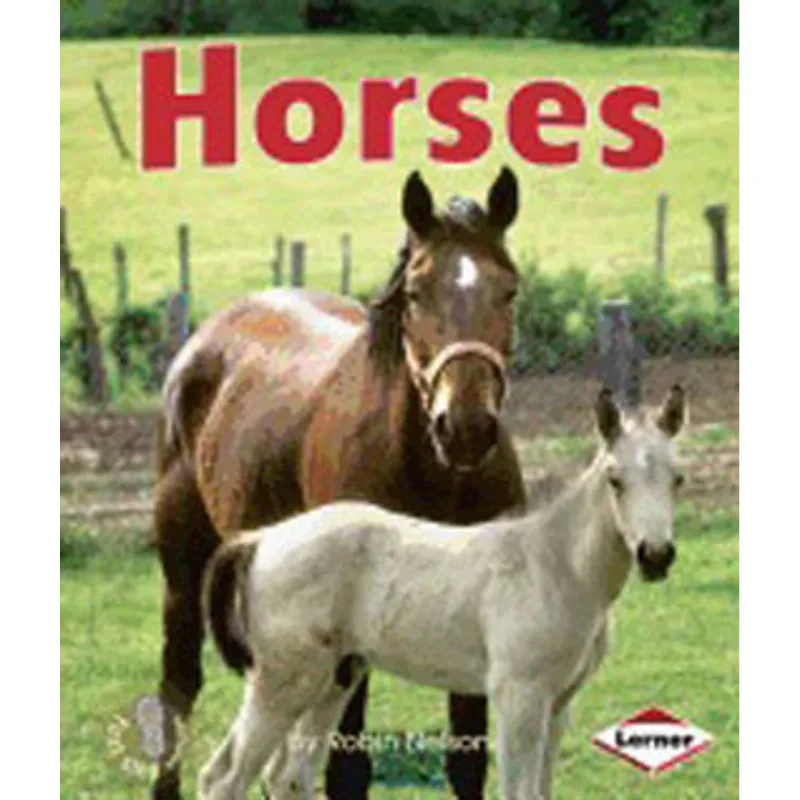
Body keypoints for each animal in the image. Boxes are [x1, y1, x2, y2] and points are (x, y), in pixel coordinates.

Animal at [152, 167, 527, 799]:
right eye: (416, 293)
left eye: (509, 289)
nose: (466, 427)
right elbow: (348, 769)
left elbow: (468, 760)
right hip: (185, 573)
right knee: (179, 686)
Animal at [197, 385, 688, 800]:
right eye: (614, 479)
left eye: (678, 479)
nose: (655, 556)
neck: (555, 565)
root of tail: (261, 539)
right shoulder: (519, 695)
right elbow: (518, 791)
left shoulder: (558, 705)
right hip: (282, 684)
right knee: (224, 779)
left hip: (332, 680)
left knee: (285, 776)